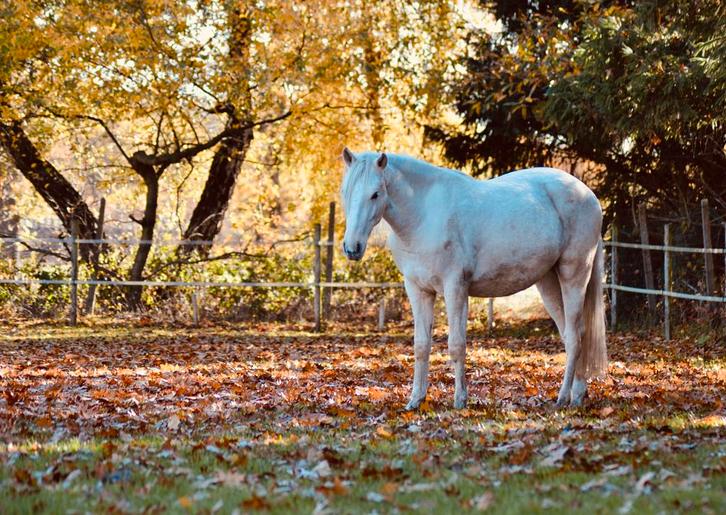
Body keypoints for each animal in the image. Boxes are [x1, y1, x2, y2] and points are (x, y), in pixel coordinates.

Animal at [340, 148, 607, 410]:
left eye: (375, 194)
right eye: (346, 192)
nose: (352, 248)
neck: (424, 215)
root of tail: (587, 194)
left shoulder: (455, 288)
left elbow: (456, 345)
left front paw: (460, 400)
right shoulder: (418, 290)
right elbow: (421, 346)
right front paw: (415, 400)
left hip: (573, 276)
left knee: (575, 337)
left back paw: (563, 399)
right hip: (548, 283)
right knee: (571, 335)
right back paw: (577, 395)